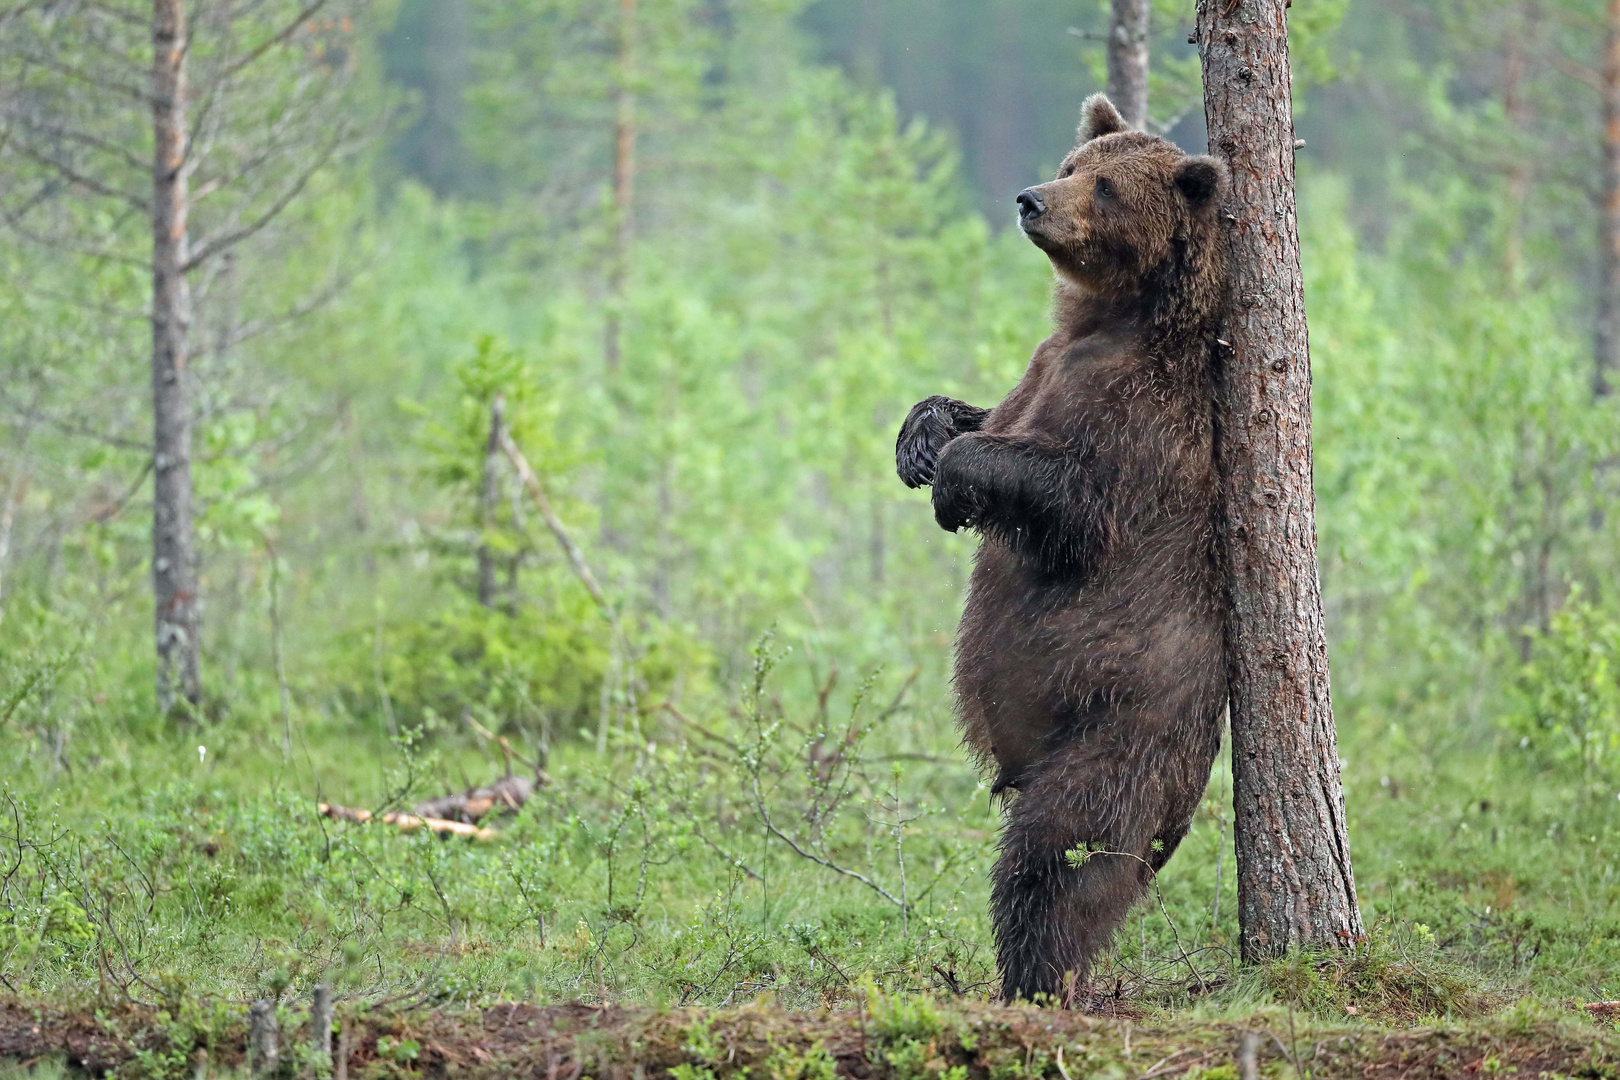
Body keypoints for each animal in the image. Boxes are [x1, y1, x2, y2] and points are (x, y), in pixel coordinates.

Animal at [900, 97, 1224, 1003]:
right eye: (1073, 162)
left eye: (1107, 187)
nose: (1031, 199)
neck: (1108, 319)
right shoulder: (1041, 366)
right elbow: (983, 410)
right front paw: (922, 438)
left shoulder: (1148, 420)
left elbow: (1074, 495)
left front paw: (952, 483)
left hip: (1122, 728)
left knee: (1059, 855)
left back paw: (1037, 980)